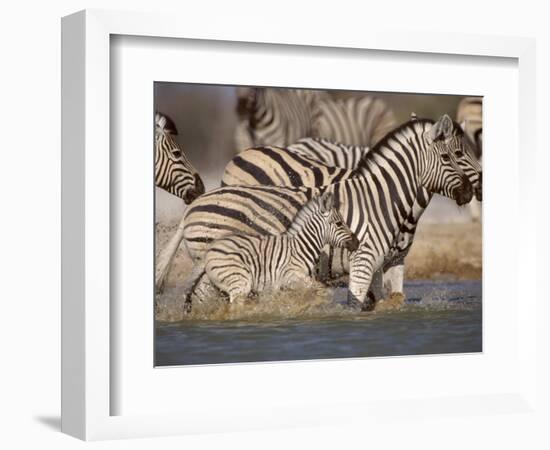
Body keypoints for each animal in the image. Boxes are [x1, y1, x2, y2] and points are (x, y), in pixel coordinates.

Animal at [183, 192, 360, 308]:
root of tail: (209, 250)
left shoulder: (283, 285)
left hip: (217, 285)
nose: (357, 243)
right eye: (339, 224)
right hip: (239, 282)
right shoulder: (291, 276)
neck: (301, 247)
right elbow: (323, 291)